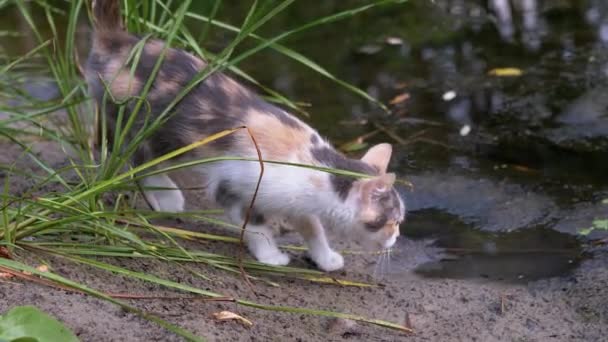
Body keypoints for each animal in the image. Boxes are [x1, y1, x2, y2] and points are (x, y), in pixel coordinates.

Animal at [86, 0, 404, 272]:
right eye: (393, 221)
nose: (397, 238)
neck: (316, 166)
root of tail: (117, 41)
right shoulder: (234, 184)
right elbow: (255, 225)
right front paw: (271, 256)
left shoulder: (299, 202)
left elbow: (312, 226)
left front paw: (325, 258)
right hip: (148, 126)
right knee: (137, 157)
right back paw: (166, 195)